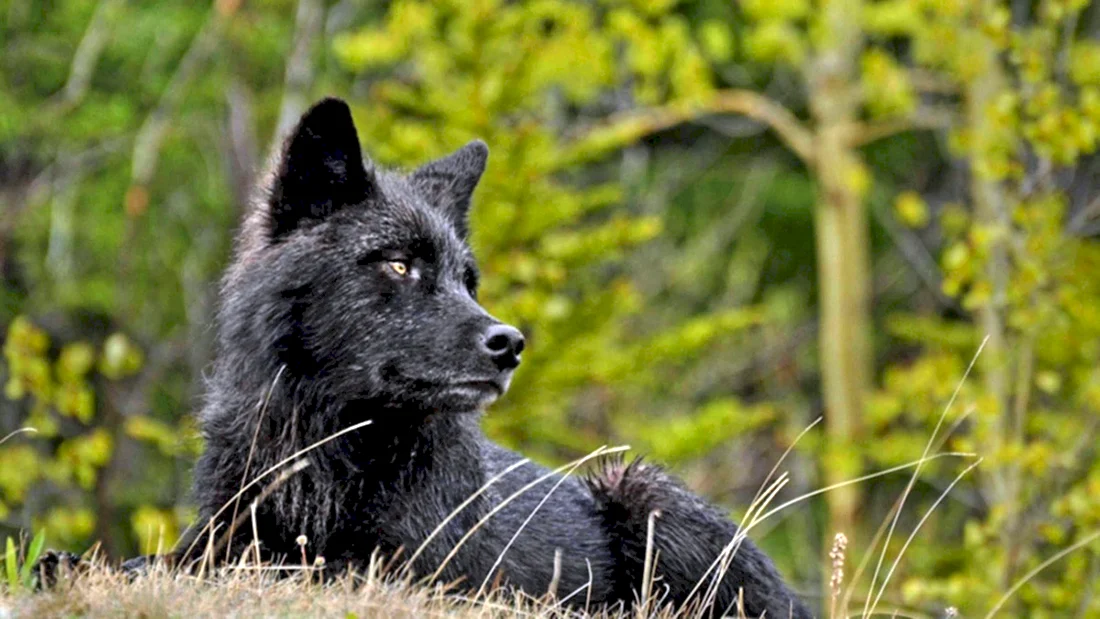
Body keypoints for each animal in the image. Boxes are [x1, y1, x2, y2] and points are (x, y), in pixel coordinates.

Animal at [39, 98, 810, 618]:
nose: (510, 344)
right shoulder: (223, 535)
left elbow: (267, 573)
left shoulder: (397, 572)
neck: (325, 451)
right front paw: (80, 565)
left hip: (642, 490)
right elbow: (170, 560)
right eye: (400, 265)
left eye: (468, 281)